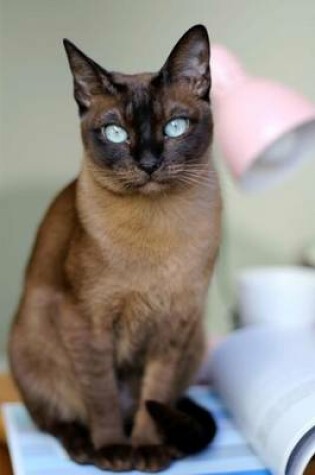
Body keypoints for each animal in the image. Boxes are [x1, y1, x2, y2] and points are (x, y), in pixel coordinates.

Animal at [9, 25, 222, 472]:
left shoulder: (173, 326)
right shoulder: (89, 323)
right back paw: (86, 447)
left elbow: (153, 398)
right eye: (115, 134)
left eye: (175, 127)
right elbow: (101, 395)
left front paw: (147, 450)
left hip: (195, 340)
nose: (148, 163)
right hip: (31, 334)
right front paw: (114, 450)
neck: (155, 232)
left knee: (161, 405)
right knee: (56, 419)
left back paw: (168, 448)